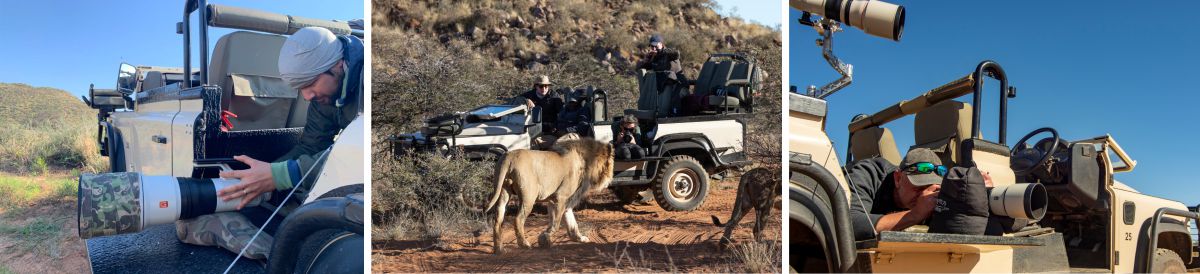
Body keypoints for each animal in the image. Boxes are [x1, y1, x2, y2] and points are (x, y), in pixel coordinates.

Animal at [482, 139, 614, 254]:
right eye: (610, 165)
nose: (609, 180)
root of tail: (509, 156)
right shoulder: (561, 197)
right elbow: (556, 223)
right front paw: (544, 239)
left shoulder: (558, 201)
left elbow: (570, 223)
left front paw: (579, 238)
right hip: (528, 197)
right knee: (518, 219)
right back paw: (524, 244)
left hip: (503, 191)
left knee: (497, 221)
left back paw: (499, 249)